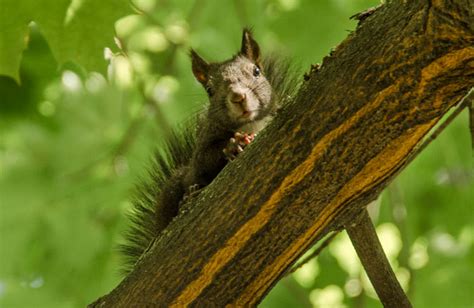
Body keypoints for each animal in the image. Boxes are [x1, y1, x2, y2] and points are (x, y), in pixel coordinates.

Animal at [122, 29, 300, 272]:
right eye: (210, 90)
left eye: (256, 71)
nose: (238, 96)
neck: (249, 126)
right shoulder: (203, 151)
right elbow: (204, 162)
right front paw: (233, 145)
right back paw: (187, 199)